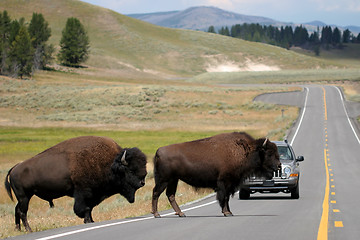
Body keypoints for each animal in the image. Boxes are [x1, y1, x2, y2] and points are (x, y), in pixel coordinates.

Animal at [3, 136, 147, 232]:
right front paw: (88, 221)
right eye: (131, 170)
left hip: (24, 197)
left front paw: (91, 220)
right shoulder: (83, 193)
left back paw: (18, 229)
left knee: (17, 209)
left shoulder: (93, 195)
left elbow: (90, 208)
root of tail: (14, 168)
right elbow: (84, 209)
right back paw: (29, 230)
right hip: (24, 197)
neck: (110, 164)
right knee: (23, 212)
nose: (142, 182)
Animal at [150, 131, 280, 218]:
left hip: (173, 180)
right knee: (156, 193)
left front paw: (229, 212)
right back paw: (157, 214)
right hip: (164, 180)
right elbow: (224, 197)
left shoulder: (230, 184)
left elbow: (227, 197)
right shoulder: (225, 182)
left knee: (170, 195)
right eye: (269, 153)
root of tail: (158, 151)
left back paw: (181, 213)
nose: (279, 165)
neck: (246, 150)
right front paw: (227, 212)